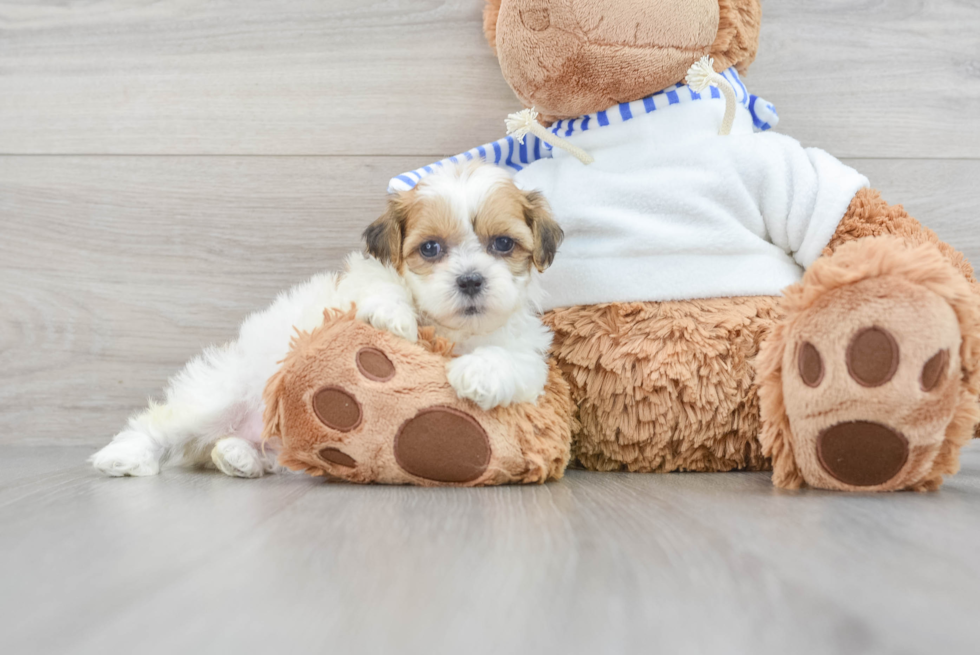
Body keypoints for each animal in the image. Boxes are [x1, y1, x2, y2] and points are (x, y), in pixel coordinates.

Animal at [94, 165, 568, 476]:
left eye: (503, 244)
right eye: (431, 249)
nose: (470, 280)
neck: (452, 330)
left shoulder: (528, 352)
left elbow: (515, 361)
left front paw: (479, 373)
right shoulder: (356, 281)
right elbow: (378, 281)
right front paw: (394, 316)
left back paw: (239, 456)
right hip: (219, 393)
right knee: (161, 424)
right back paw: (124, 456)